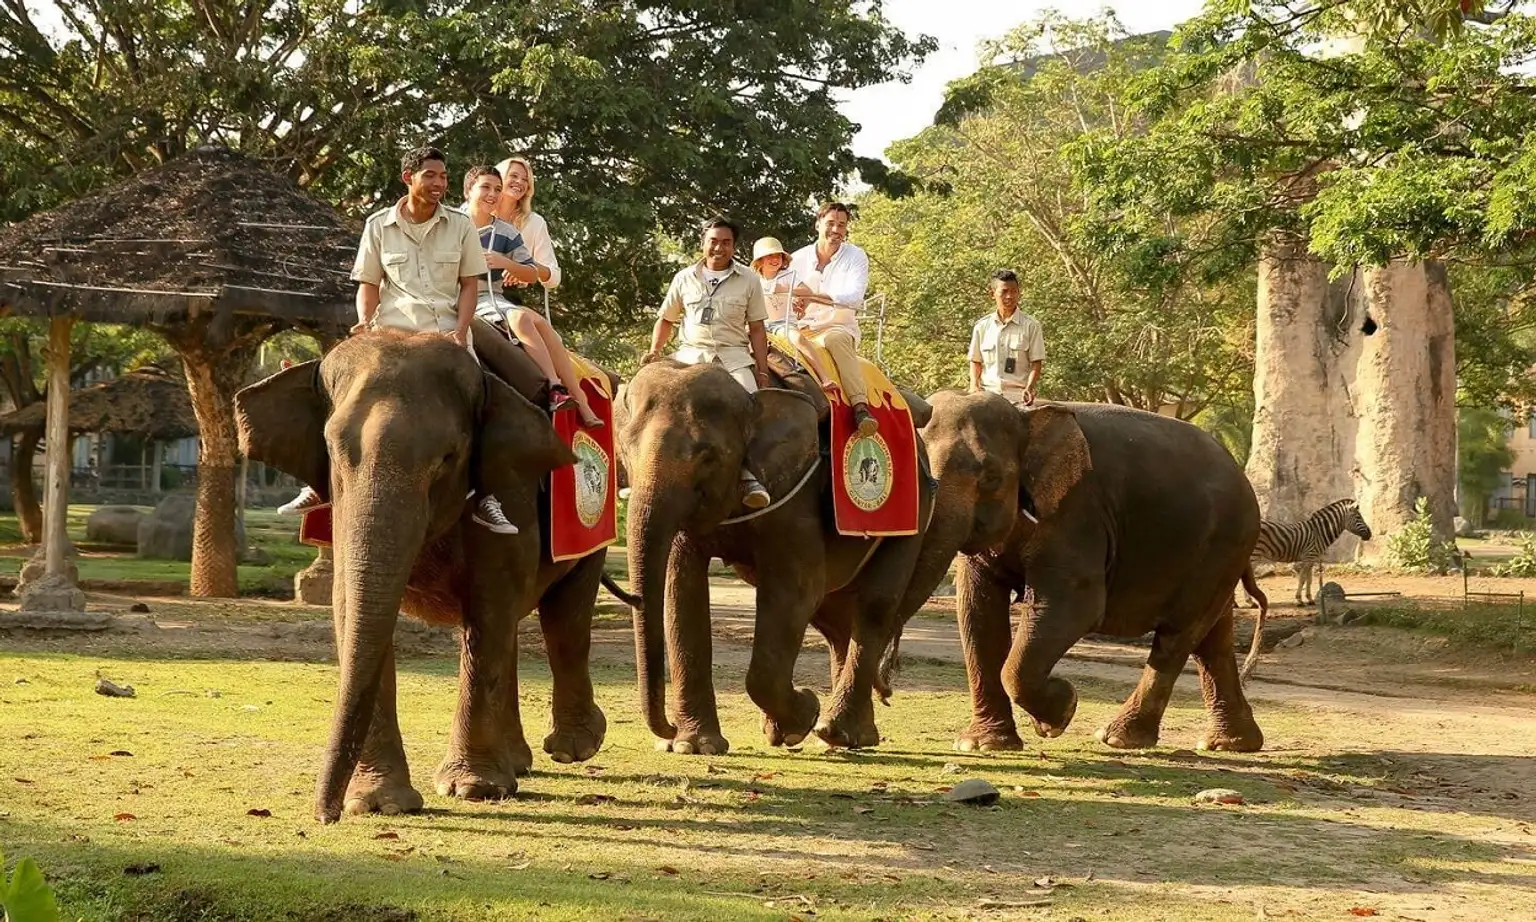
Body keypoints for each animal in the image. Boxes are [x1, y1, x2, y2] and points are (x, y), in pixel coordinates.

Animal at [236, 325, 612, 823]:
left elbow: (489, 605)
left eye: (448, 457)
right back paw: (517, 764)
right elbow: (350, 606)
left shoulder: (509, 489)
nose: (325, 815)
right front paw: (379, 803)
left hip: (590, 527)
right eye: (333, 450)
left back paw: (573, 748)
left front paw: (471, 788)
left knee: (564, 615)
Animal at [611, 358, 937, 754]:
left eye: (708, 456)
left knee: (874, 604)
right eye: (625, 449)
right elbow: (682, 591)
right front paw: (695, 746)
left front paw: (804, 714)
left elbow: (794, 590)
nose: (667, 730)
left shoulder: (796, 495)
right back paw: (842, 734)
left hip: (913, 509)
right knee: (835, 619)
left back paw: (836, 731)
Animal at [885, 392, 1264, 753]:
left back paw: (1119, 738)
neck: (1023, 413)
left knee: (1178, 635)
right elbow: (978, 612)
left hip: (1221, 545)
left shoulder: (1076, 513)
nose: (887, 690)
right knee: (1211, 638)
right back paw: (1229, 744)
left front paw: (1060, 712)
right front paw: (983, 744)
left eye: (991, 478)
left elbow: (1075, 606)